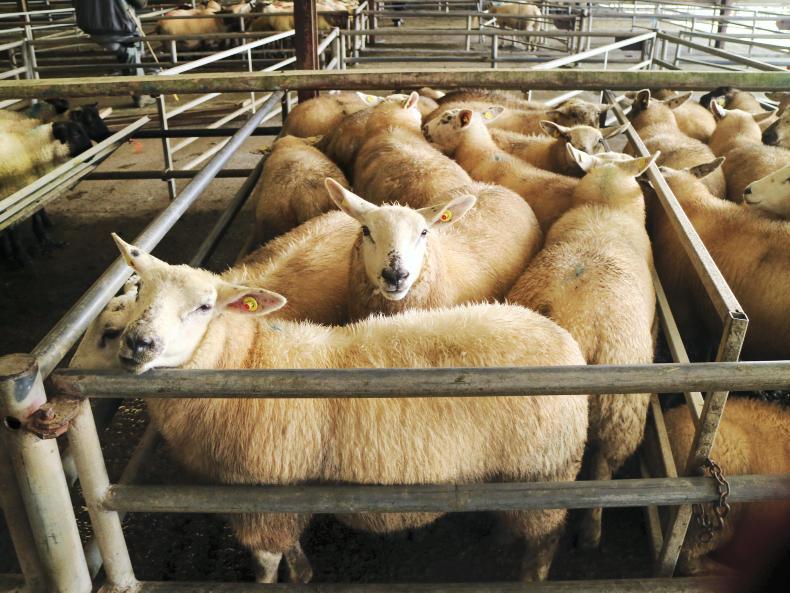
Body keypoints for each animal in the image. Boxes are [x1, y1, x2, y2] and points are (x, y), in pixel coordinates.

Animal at [112, 232, 590, 583]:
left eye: (205, 306)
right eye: (139, 292)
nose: (138, 343)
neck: (248, 359)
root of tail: (563, 339)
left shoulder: (260, 498)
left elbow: (265, 565)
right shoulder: (284, 493)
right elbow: (291, 547)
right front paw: (303, 573)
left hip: (544, 473)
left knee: (545, 541)